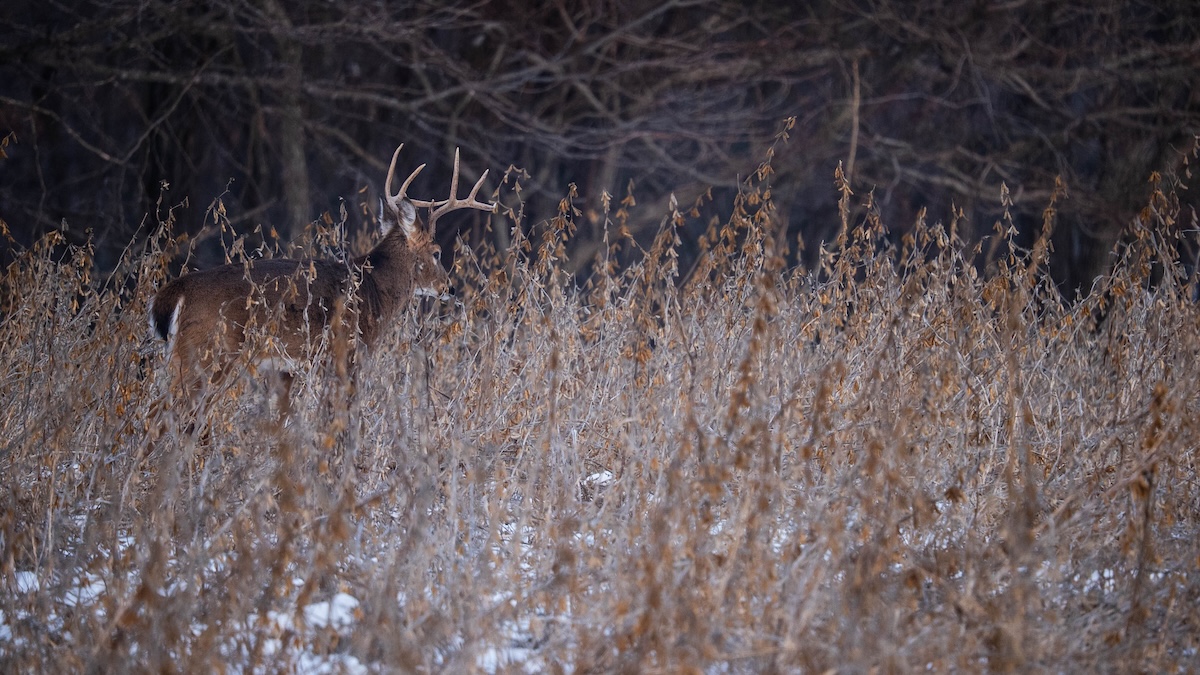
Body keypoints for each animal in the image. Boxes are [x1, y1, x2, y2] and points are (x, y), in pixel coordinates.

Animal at [147, 144, 495, 426]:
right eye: (436, 252)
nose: (448, 288)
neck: (372, 291)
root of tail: (174, 292)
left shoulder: (290, 369)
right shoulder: (347, 352)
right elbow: (340, 417)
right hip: (208, 353)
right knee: (163, 414)